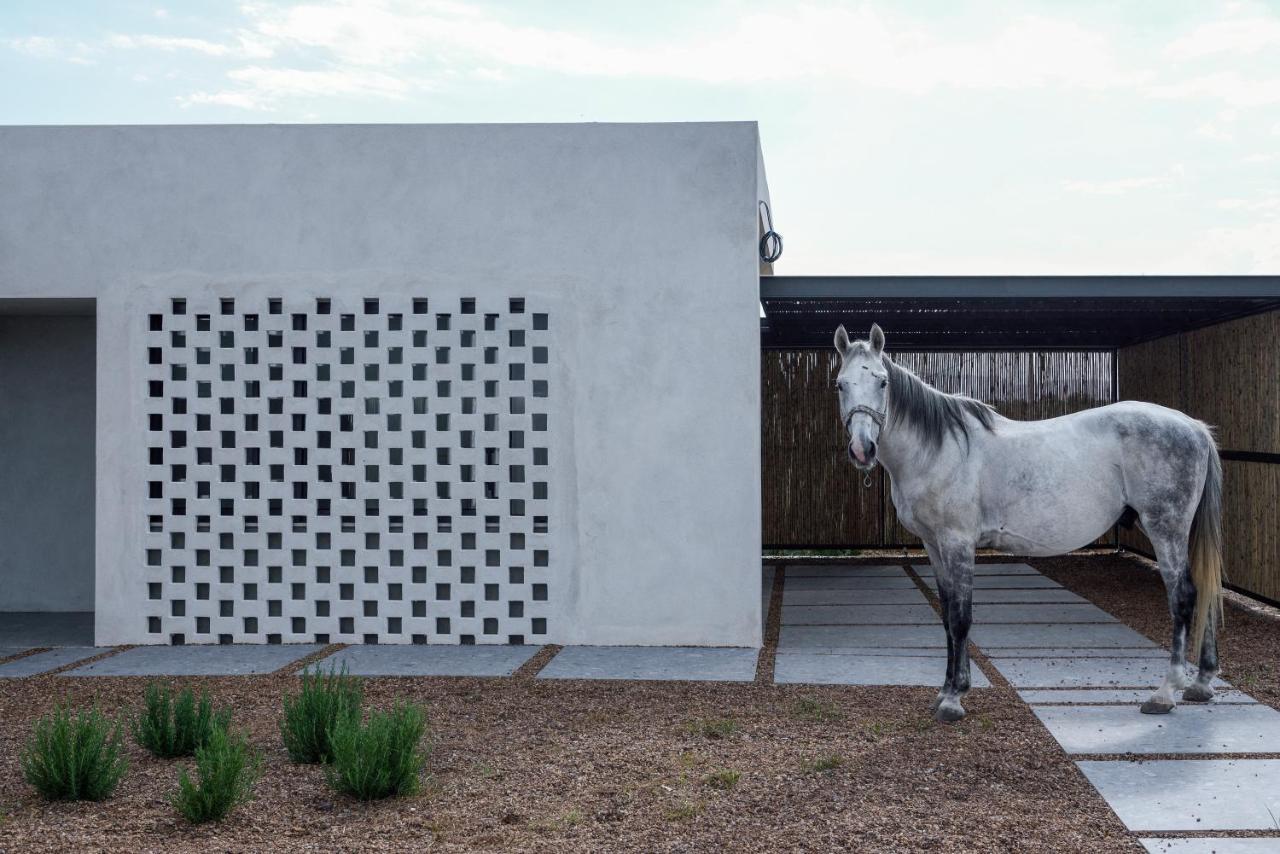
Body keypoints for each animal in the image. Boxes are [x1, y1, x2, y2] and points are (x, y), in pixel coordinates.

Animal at [834, 323, 1223, 727]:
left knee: (1183, 595)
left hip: (1166, 526)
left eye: (881, 381)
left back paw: (1166, 692)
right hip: (1171, 528)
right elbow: (946, 615)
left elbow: (961, 617)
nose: (862, 449)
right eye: (841, 385)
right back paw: (1202, 683)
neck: (940, 449)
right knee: (1204, 589)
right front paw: (945, 690)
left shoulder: (959, 543)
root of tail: (1193, 426)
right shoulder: (933, 545)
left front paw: (954, 698)